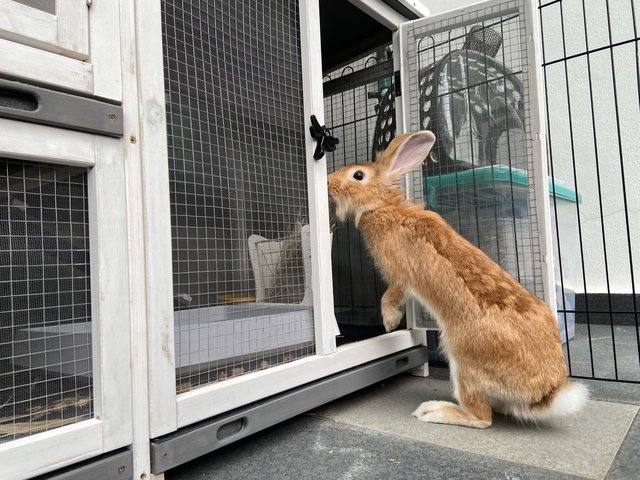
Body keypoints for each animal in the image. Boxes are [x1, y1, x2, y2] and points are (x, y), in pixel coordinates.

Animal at [328, 130, 588, 428]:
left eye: (358, 175)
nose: (328, 182)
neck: (383, 206)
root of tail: (547, 394)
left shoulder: (401, 276)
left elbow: (390, 296)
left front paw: (389, 322)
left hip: (464, 359)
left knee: (481, 417)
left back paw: (433, 411)